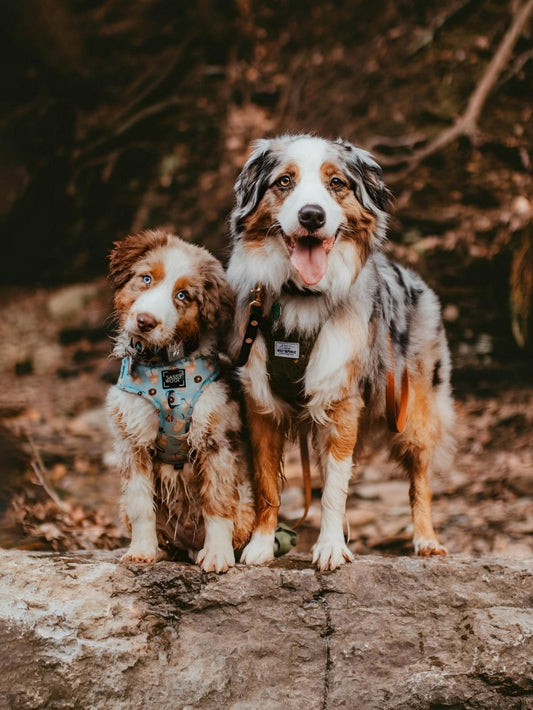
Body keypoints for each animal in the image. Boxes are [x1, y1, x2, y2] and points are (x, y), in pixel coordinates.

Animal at [106, 231, 254, 576]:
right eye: (146, 278)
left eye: (183, 295)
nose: (145, 321)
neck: (165, 368)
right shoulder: (133, 438)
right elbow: (141, 504)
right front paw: (141, 551)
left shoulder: (215, 437)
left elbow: (217, 501)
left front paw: (217, 555)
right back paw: (162, 549)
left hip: (246, 505)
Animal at [227, 136, 456, 576]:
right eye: (284, 182)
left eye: (336, 183)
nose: (312, 215)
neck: (300, 297)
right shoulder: (261, 406)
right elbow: (266, 484)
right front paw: (261, 544)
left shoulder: (340, 401)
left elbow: (335, 487)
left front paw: (331, 547)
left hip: (417, 412)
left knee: (420, 479)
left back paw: (427, 540)